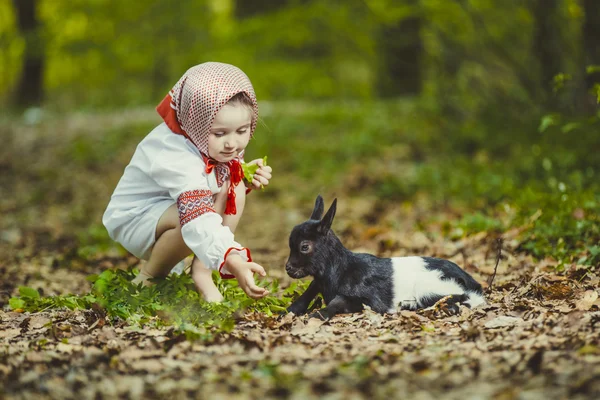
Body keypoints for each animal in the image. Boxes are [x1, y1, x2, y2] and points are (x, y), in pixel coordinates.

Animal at [284, 195, 486, 320]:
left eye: (304, 246)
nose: (288, 268)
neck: (340, 270)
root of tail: (469, 280)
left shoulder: (365, 299)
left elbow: (338, 301)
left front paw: (317, 315)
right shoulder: (318, 281)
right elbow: (307, 293)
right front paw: (286, 313)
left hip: (429, 289)